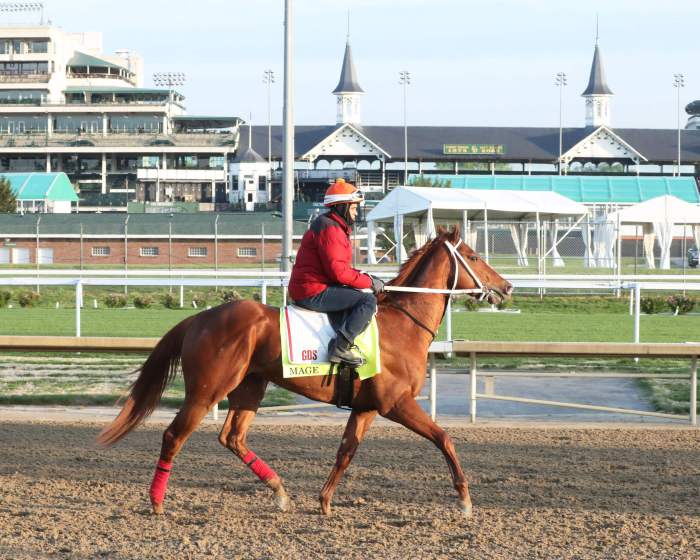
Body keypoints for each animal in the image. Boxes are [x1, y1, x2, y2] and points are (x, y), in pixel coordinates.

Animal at [98, 225, 512, 520]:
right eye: (474, 256)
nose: (506, 286)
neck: (402, 325)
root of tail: (198, 318)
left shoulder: (365, 407)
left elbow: (345, 451)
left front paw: (325, 501)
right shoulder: (396, 403)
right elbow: (444, 438)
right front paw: (465, 501)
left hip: (249, 388)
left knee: (232, 437)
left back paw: (279, 491)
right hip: (206, 390)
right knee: (174, 436)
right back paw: (156, 502)